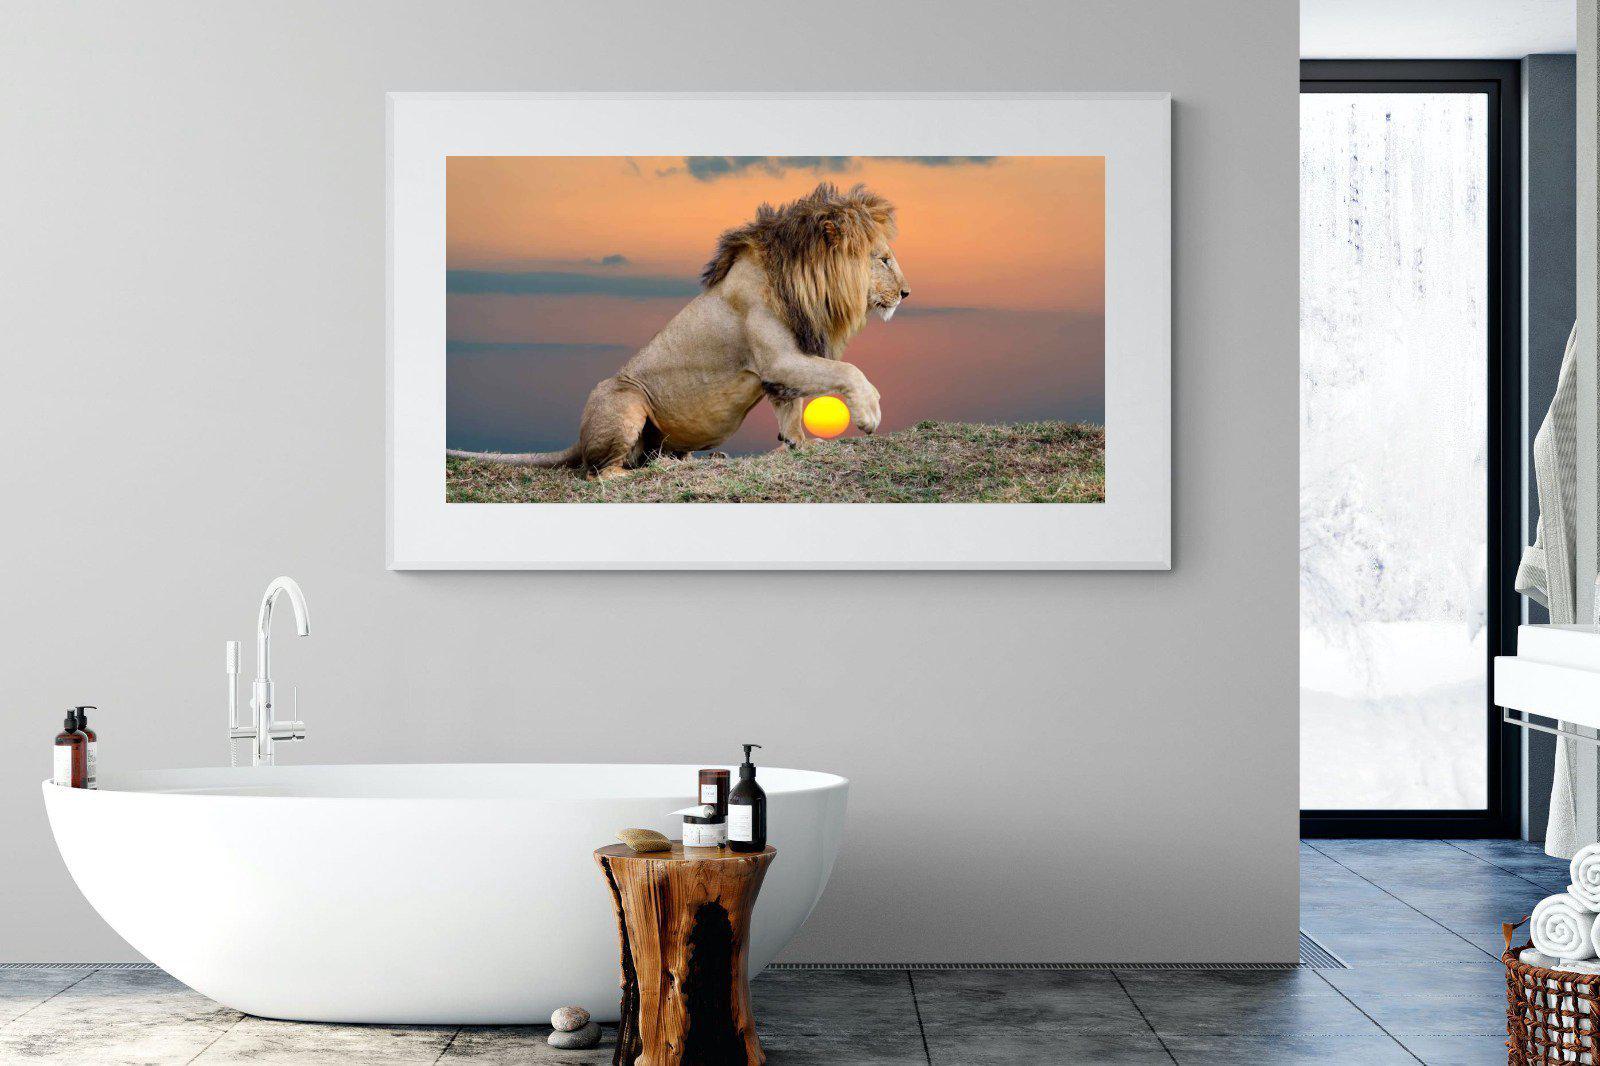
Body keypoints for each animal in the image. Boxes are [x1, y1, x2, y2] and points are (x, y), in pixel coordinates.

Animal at [446, 181, 910, 480]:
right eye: (884, 259)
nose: (906, 293)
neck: (803, 282)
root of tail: (578, 439)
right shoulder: (779, 358)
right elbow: (847, 371)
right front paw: (868, 414)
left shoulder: (782, 366)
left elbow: (790, 408)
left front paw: (801, 444)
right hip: (625, 397)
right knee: (601, 472)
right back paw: (650, 470)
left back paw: (693, 460)